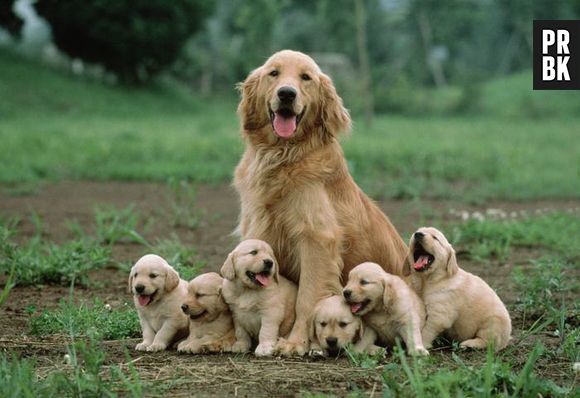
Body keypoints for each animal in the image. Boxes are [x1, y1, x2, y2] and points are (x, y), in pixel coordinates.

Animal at [233, 48, 406, 356]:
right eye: (274, 73)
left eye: (306, 77)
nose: (286, 94)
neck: (282, 155)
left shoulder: (316, 240)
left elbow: (308, 298)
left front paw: (295, 342)